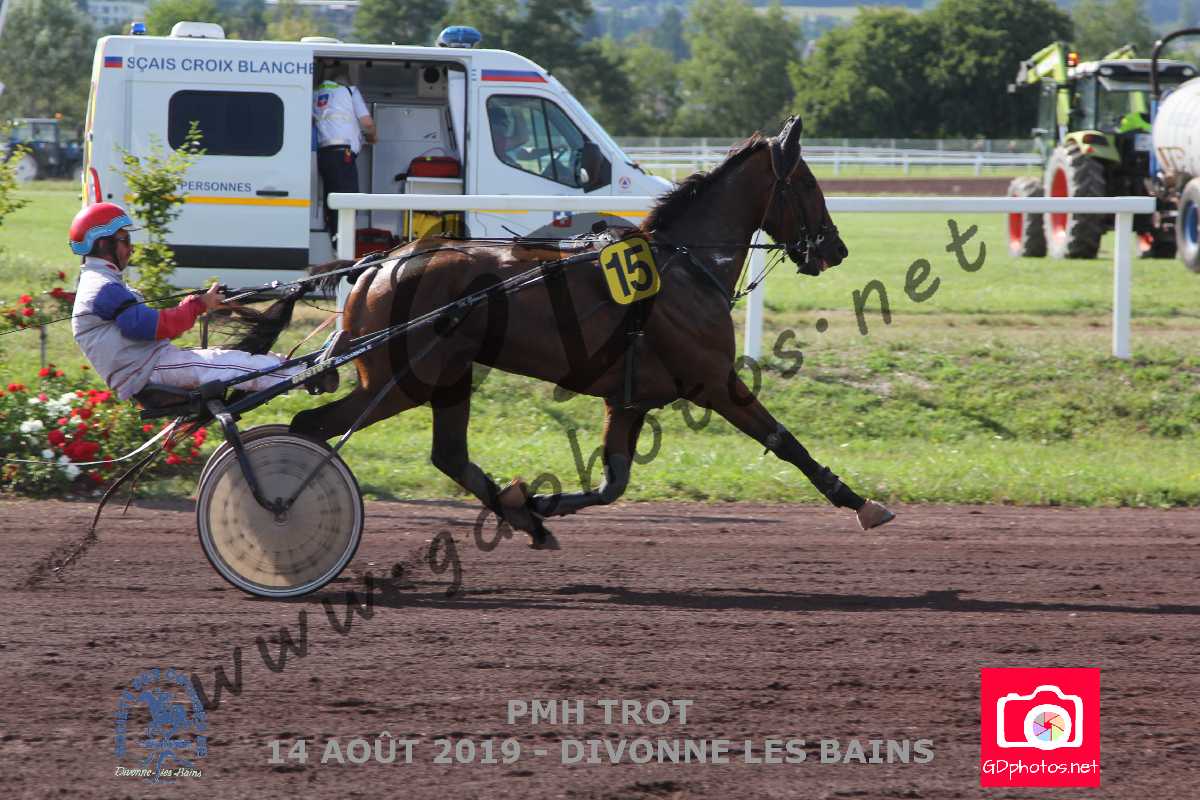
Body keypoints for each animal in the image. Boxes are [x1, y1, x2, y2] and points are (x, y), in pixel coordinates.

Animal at [292, 117, 895, 546]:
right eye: (808, 183)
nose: (836, 248)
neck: (685, 267)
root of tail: (377, 266)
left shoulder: (628, 400)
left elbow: (612, 485)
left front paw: (538, 503)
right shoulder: (714, 383)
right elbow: (783, 440)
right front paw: (860, 502)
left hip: (446, 375)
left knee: (447, 456)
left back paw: (527, 520)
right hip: (405, 379)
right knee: (311, 426)